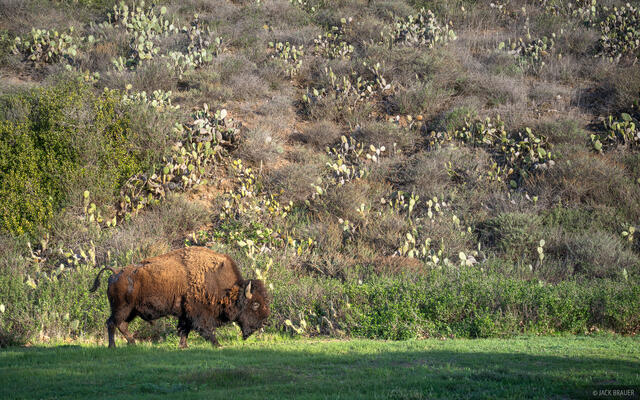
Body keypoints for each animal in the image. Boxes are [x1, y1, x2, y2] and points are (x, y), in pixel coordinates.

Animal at [89, 247, 270, 348]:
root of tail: (116, 272)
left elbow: (184, 330)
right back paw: (112, 346)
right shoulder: (198, 314)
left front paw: (183, 346)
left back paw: (133, 344)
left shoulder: (185, 314)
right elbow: (205, 329)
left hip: (131, 311)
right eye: (255, 304)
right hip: (122, 308)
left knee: (121, 325)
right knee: (112, 323)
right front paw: (218, 345)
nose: (261, 324)